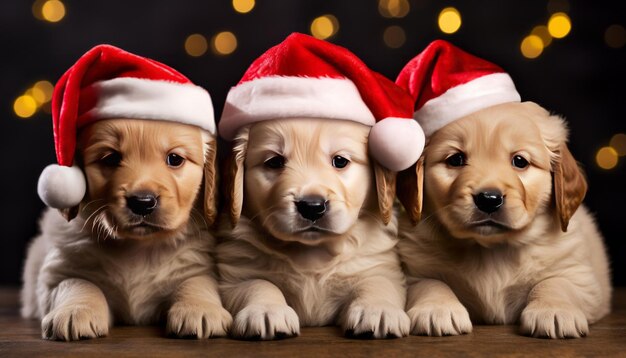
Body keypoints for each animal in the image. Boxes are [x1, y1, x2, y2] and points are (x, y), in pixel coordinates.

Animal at [22, 119, 233, 340]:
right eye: (111, 158)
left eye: (175, 159)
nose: (142, 202)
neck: (137, 246)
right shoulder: (56, 275)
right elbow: (76, 283)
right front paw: (75, 311)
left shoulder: (195, 263)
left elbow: (196, 282)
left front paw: (199, 309)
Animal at [216, 119, 410, 340]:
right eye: (274, 162)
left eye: (340, 161)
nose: (311, 206)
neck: (313, 251)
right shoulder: (237, 273)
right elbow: (258, 284)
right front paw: (266, 310)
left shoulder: (378, 265)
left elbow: (377, 283)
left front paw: (377, 309)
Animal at [394, 101, 608, 338]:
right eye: (456, 159)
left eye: (520, 161)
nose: (488, 199)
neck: (490, 250)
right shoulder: (413, 271)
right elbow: (430, 283)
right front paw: (437, 309)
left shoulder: (581, 278)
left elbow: (556, 283)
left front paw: (554, 311)